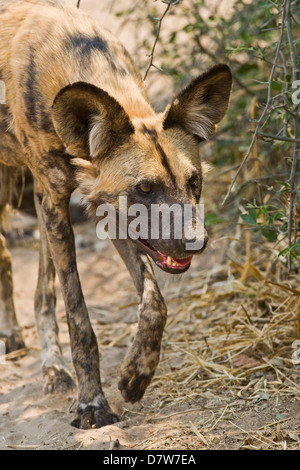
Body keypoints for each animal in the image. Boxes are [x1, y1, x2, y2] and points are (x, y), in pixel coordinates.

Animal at [0, 0, 232, 430]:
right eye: (146, 188)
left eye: (194, 182)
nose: (197, 242)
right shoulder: (57, 202)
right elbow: (79, 319)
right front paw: (91, 403)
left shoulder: (107, 213)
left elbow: (154, 304)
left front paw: (135, 377)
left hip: (38, 201)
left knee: (41, 291)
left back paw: (51, 367)